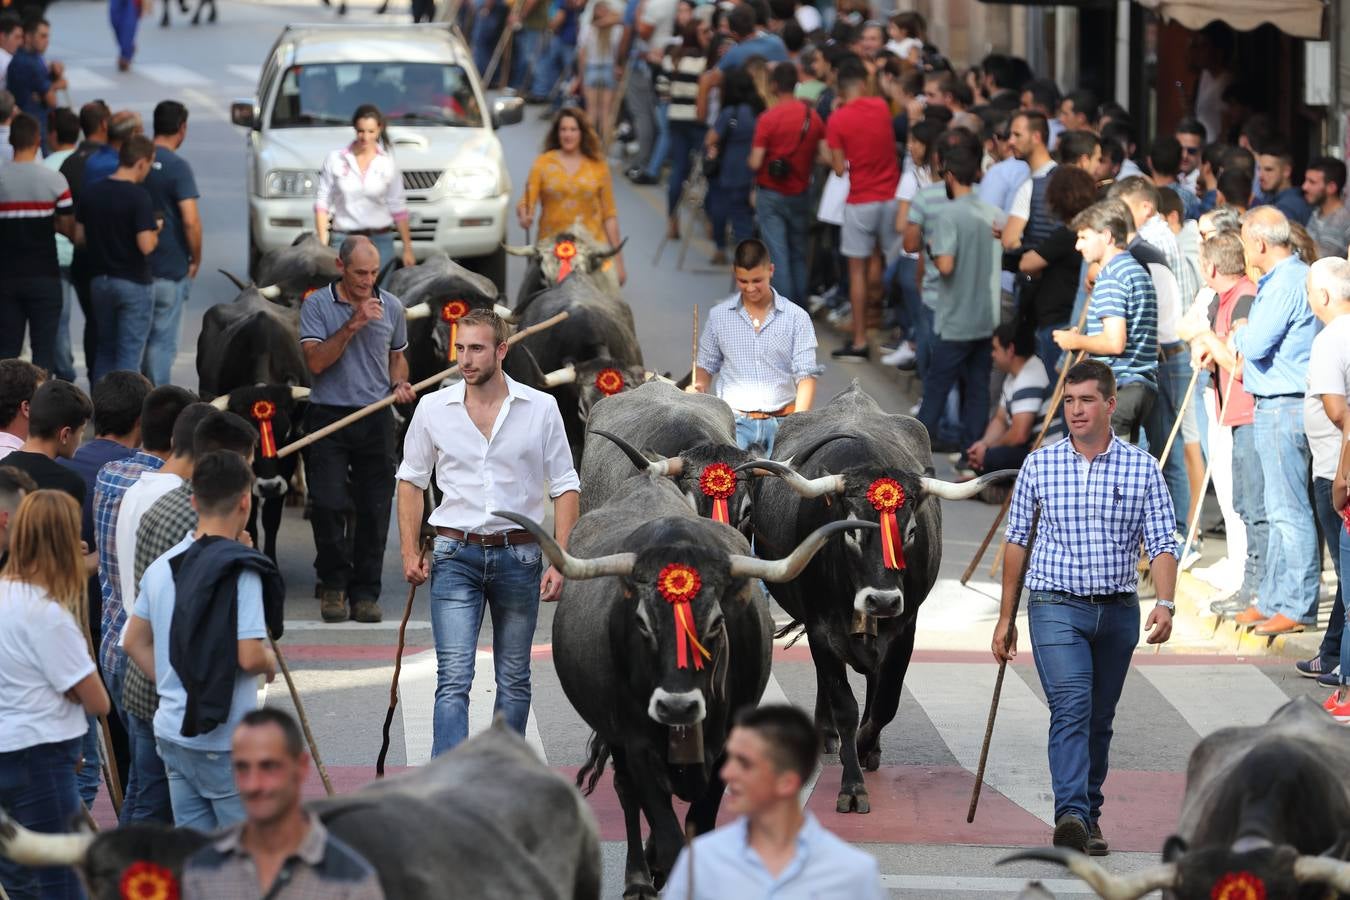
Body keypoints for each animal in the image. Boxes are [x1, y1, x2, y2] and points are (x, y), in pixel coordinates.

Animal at [502, 474, 869, 895]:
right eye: (642, 623)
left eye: (716, 623)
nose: (676, 706)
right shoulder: (637, 747)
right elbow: (667, 831)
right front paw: (660, 867)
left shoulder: (726, 747)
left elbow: (699, 823)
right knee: (627, 795)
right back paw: (640, 876)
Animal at [745, 380, 1015, 814]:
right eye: (851, 532)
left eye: (910, 532)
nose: (883, 601)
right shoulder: (821, 628)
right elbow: (845, 704)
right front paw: (852, 784)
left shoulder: (906, 628)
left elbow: (885, 701)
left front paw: (865, 746)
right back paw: (827, 734)